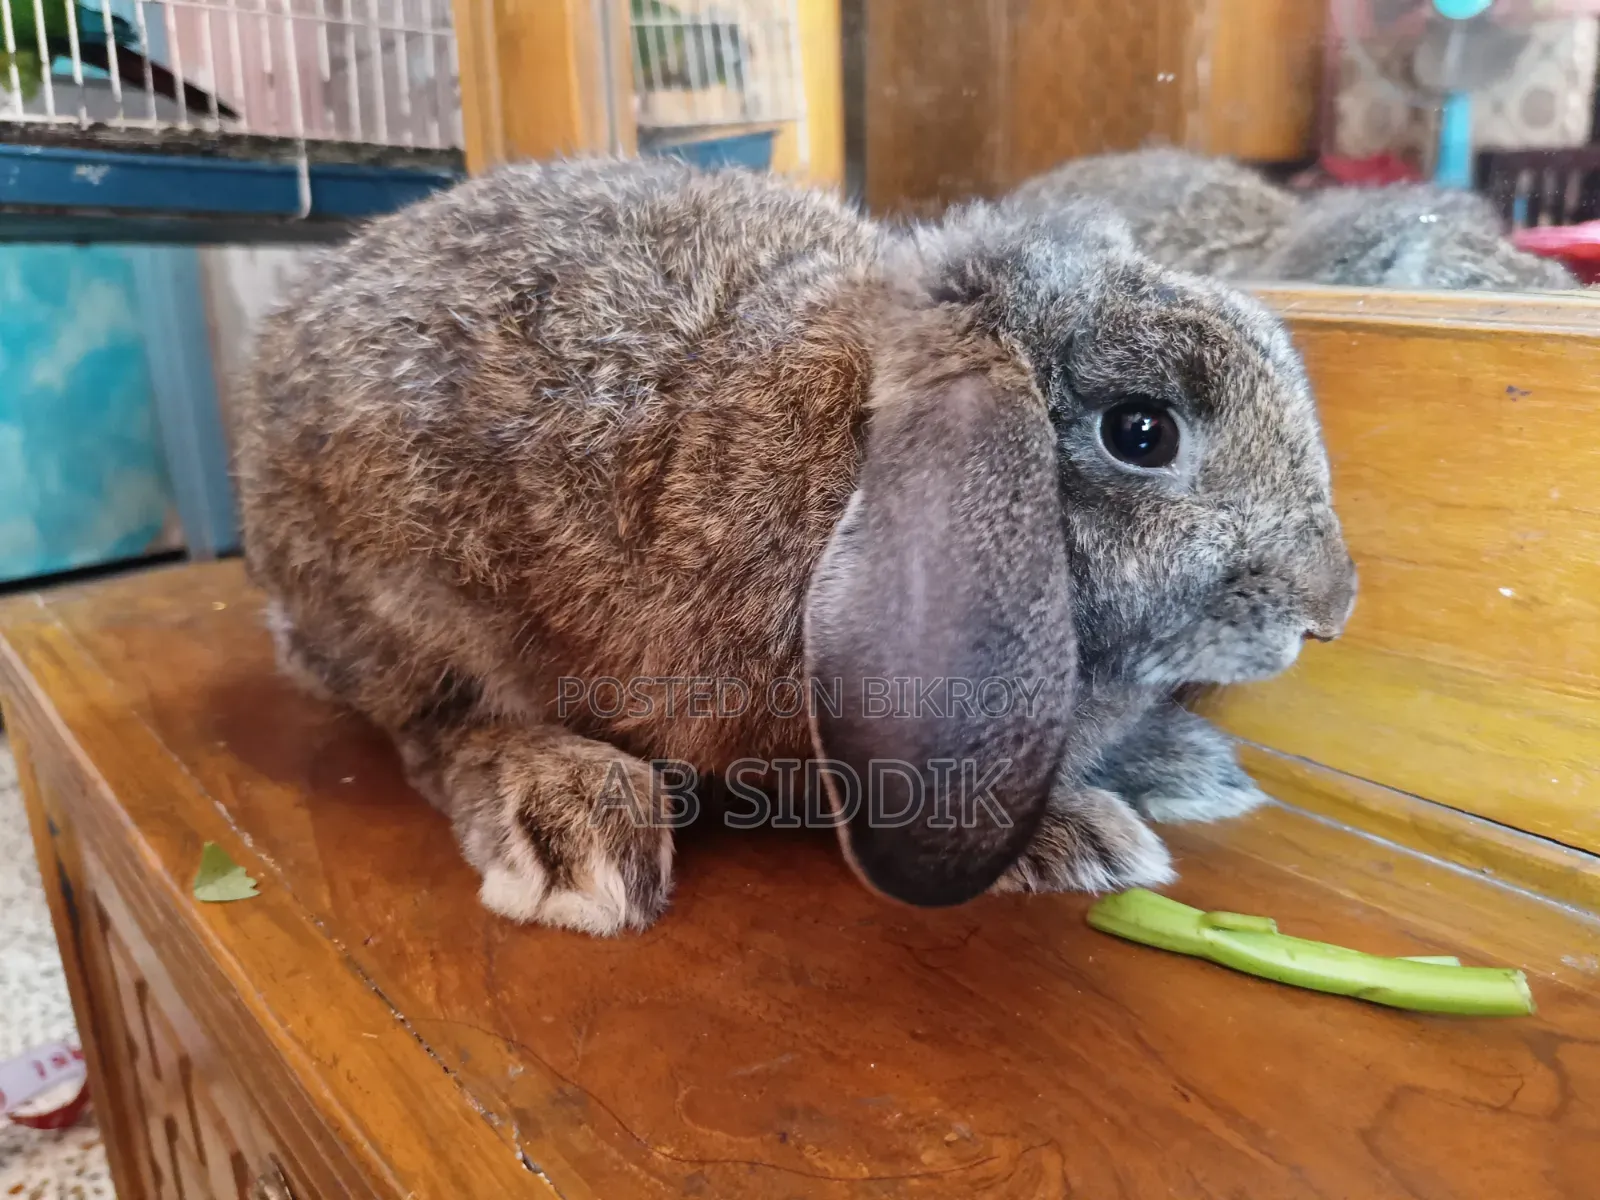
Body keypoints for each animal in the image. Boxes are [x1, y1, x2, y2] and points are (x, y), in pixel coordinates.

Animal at [237, 157, 1356, 935]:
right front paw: (1077, 834)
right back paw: (571, 823)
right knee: (437, 729)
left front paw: (1176, 766)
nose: (1330, 611)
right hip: (421, 605)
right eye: (1142, 432)